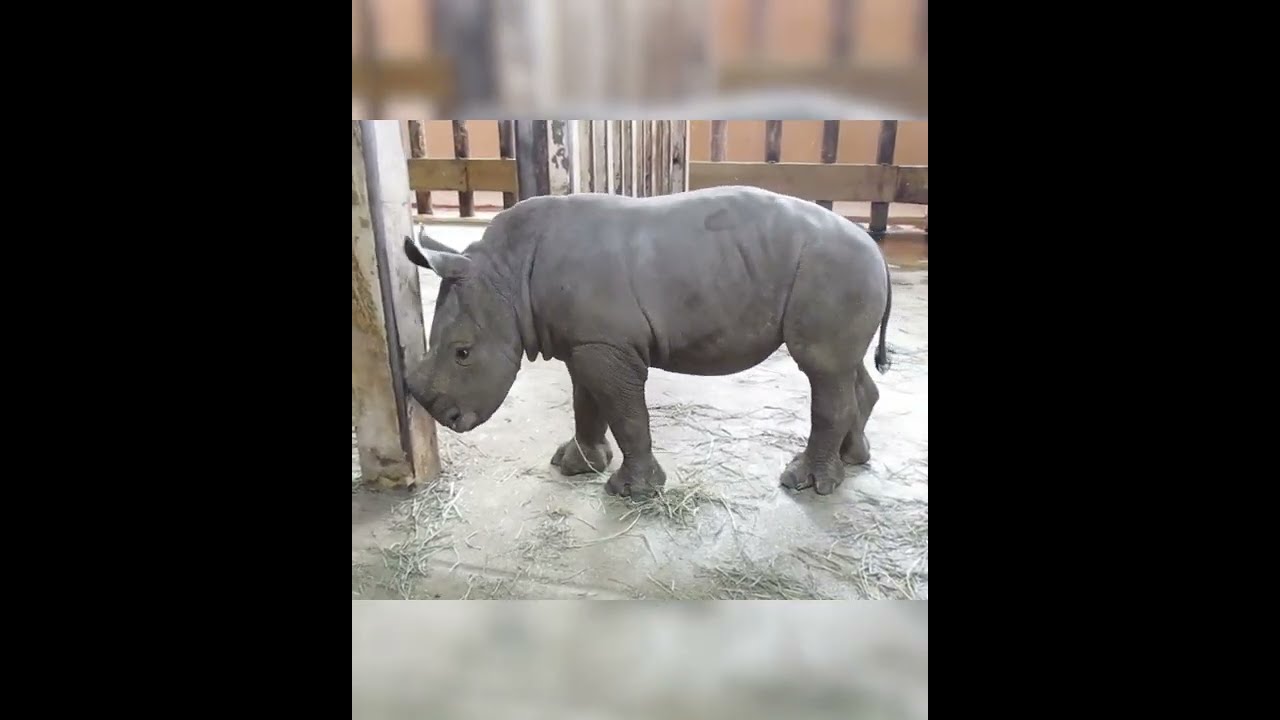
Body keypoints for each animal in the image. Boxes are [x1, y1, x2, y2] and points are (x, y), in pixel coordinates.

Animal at [402, 185, 892, 497]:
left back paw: (806, 484)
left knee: (821, 368)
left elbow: (625, 413)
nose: (446, 417)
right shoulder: (587, 340)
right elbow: (586, 403)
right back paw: (852, 460)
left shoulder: (607, 347)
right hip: (841, 272)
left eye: (463, 353)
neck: (506, 276)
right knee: (843, 367)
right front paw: (576, 464)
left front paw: (630, 491)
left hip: (833, 267)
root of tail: (877, 250)